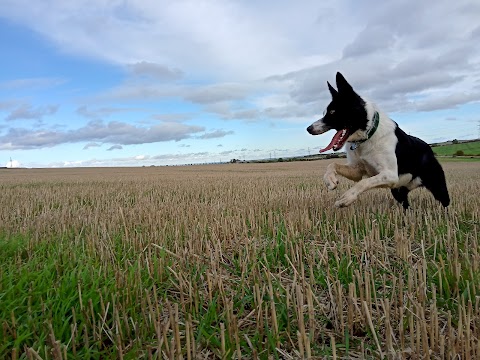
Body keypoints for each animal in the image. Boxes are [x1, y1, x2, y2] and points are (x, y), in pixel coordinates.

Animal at [308, 72, 450, 208]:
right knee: (406, 205)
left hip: (437, 186)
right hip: (399, 190)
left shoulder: (390, 175)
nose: (309, 129)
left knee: (445, 202)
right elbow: (333, 164)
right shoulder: (357, 170)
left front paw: (346, 198)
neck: (367, 136)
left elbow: (363, 182)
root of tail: (428, 149)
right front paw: (330, 180)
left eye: (332, 112)